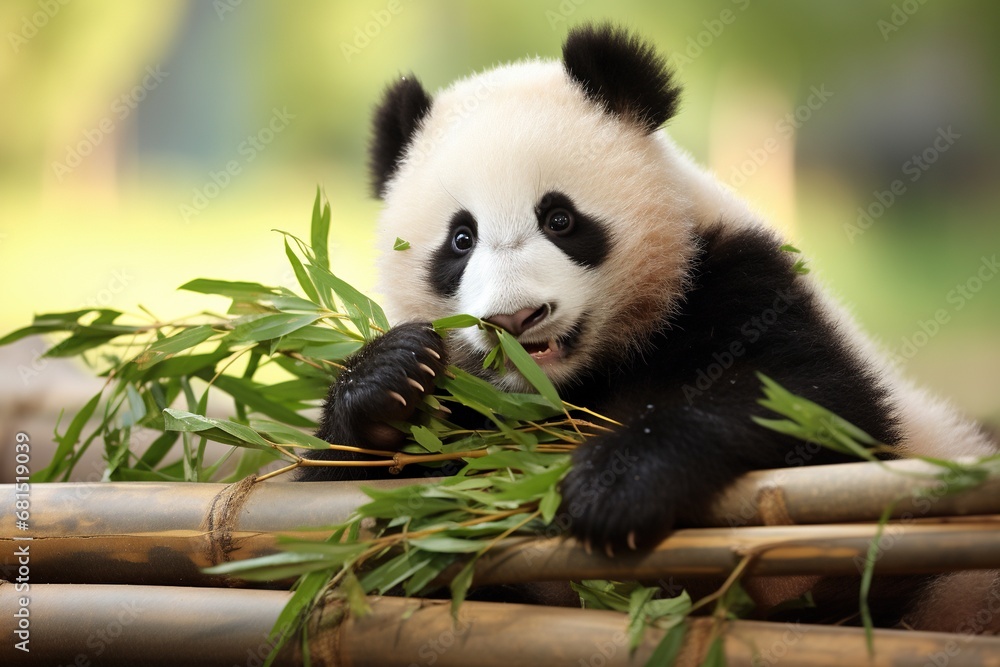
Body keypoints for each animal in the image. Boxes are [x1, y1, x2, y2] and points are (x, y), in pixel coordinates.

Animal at [298, 24, 998, 631]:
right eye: (461, 239)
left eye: (559, 219)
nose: (516, 318)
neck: (572, 383)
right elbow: (332, 531)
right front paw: (389, 379)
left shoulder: (737, 280)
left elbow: (819, 409)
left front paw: (615, 485)